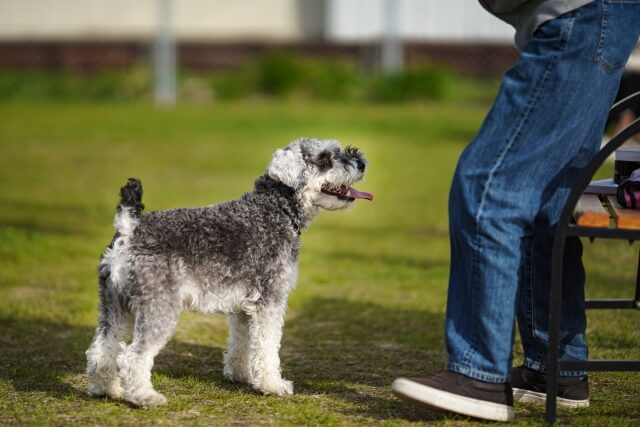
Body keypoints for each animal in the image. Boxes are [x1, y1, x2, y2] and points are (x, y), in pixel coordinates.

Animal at [85, 137, 376, 408]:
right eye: (325, 157)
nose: (361, 162)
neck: (275, 209)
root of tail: (128, 228)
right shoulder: (270, 302)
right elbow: (268, 346)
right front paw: (272, 385)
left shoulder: (243, 308)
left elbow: (243, 343)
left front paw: (242, 375)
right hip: (159, 309)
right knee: (133, 356)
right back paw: (144, 397)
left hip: (114, 306)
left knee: (102, 349)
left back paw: (107, 390)